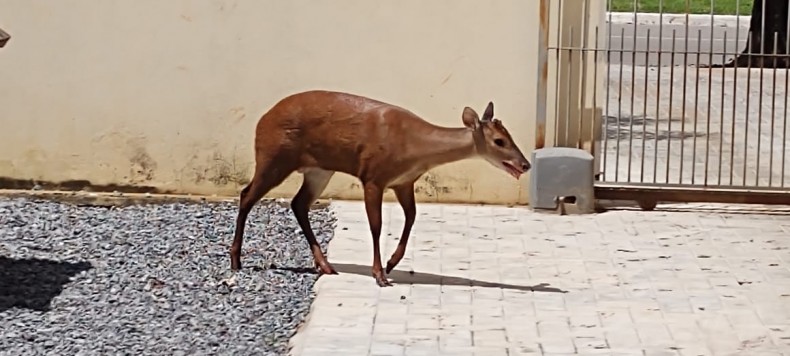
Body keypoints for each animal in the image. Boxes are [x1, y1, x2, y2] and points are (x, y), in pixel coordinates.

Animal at [232, 90, 536, 288]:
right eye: (499, 141)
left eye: (508, 136)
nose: (525, 164)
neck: (413, 148)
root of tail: (261, 120)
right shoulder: (373, 176)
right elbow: (376, 226)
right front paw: (379, 275)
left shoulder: (404, 181)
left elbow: (411, 217)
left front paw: (391, 263)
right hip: (273, 156)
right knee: (247, 194)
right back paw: (235, 261)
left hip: (319, 169)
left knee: (298, 204)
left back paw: (326, 265)